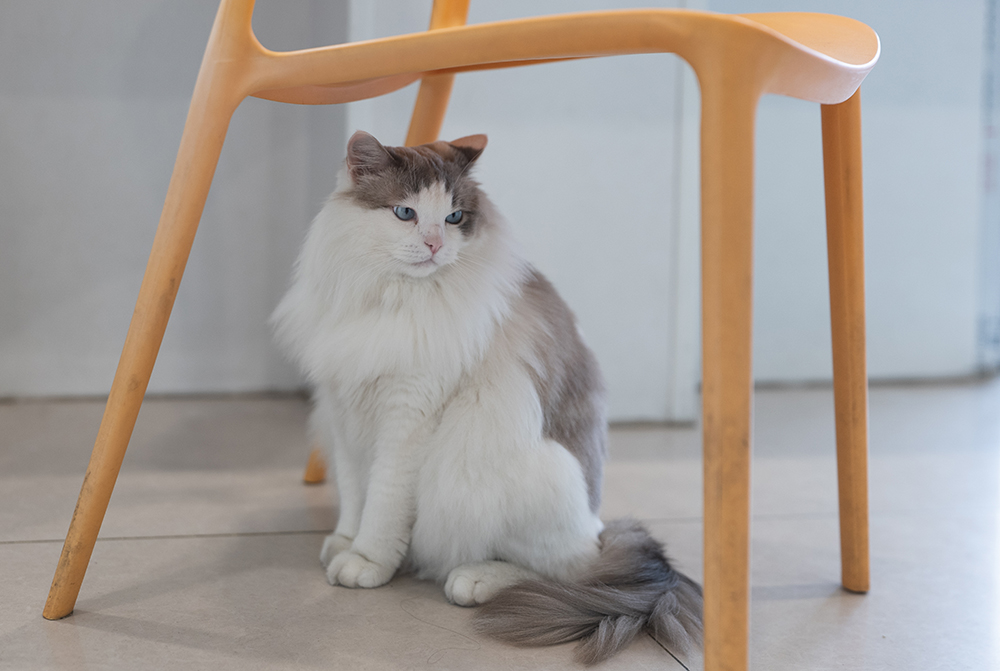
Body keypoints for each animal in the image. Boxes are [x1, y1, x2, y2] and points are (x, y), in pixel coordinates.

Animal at [270, 131, 700, 668]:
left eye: (455, 217)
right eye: (406, 213)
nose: (435, 244)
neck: (390, 298)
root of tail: (601, 525)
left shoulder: (406, 417)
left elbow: (383, 502)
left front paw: (365, 561)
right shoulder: (344, 413)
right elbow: (354, 494)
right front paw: (345, 542)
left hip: (527, 473)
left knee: (565, 570)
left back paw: (473, 579)